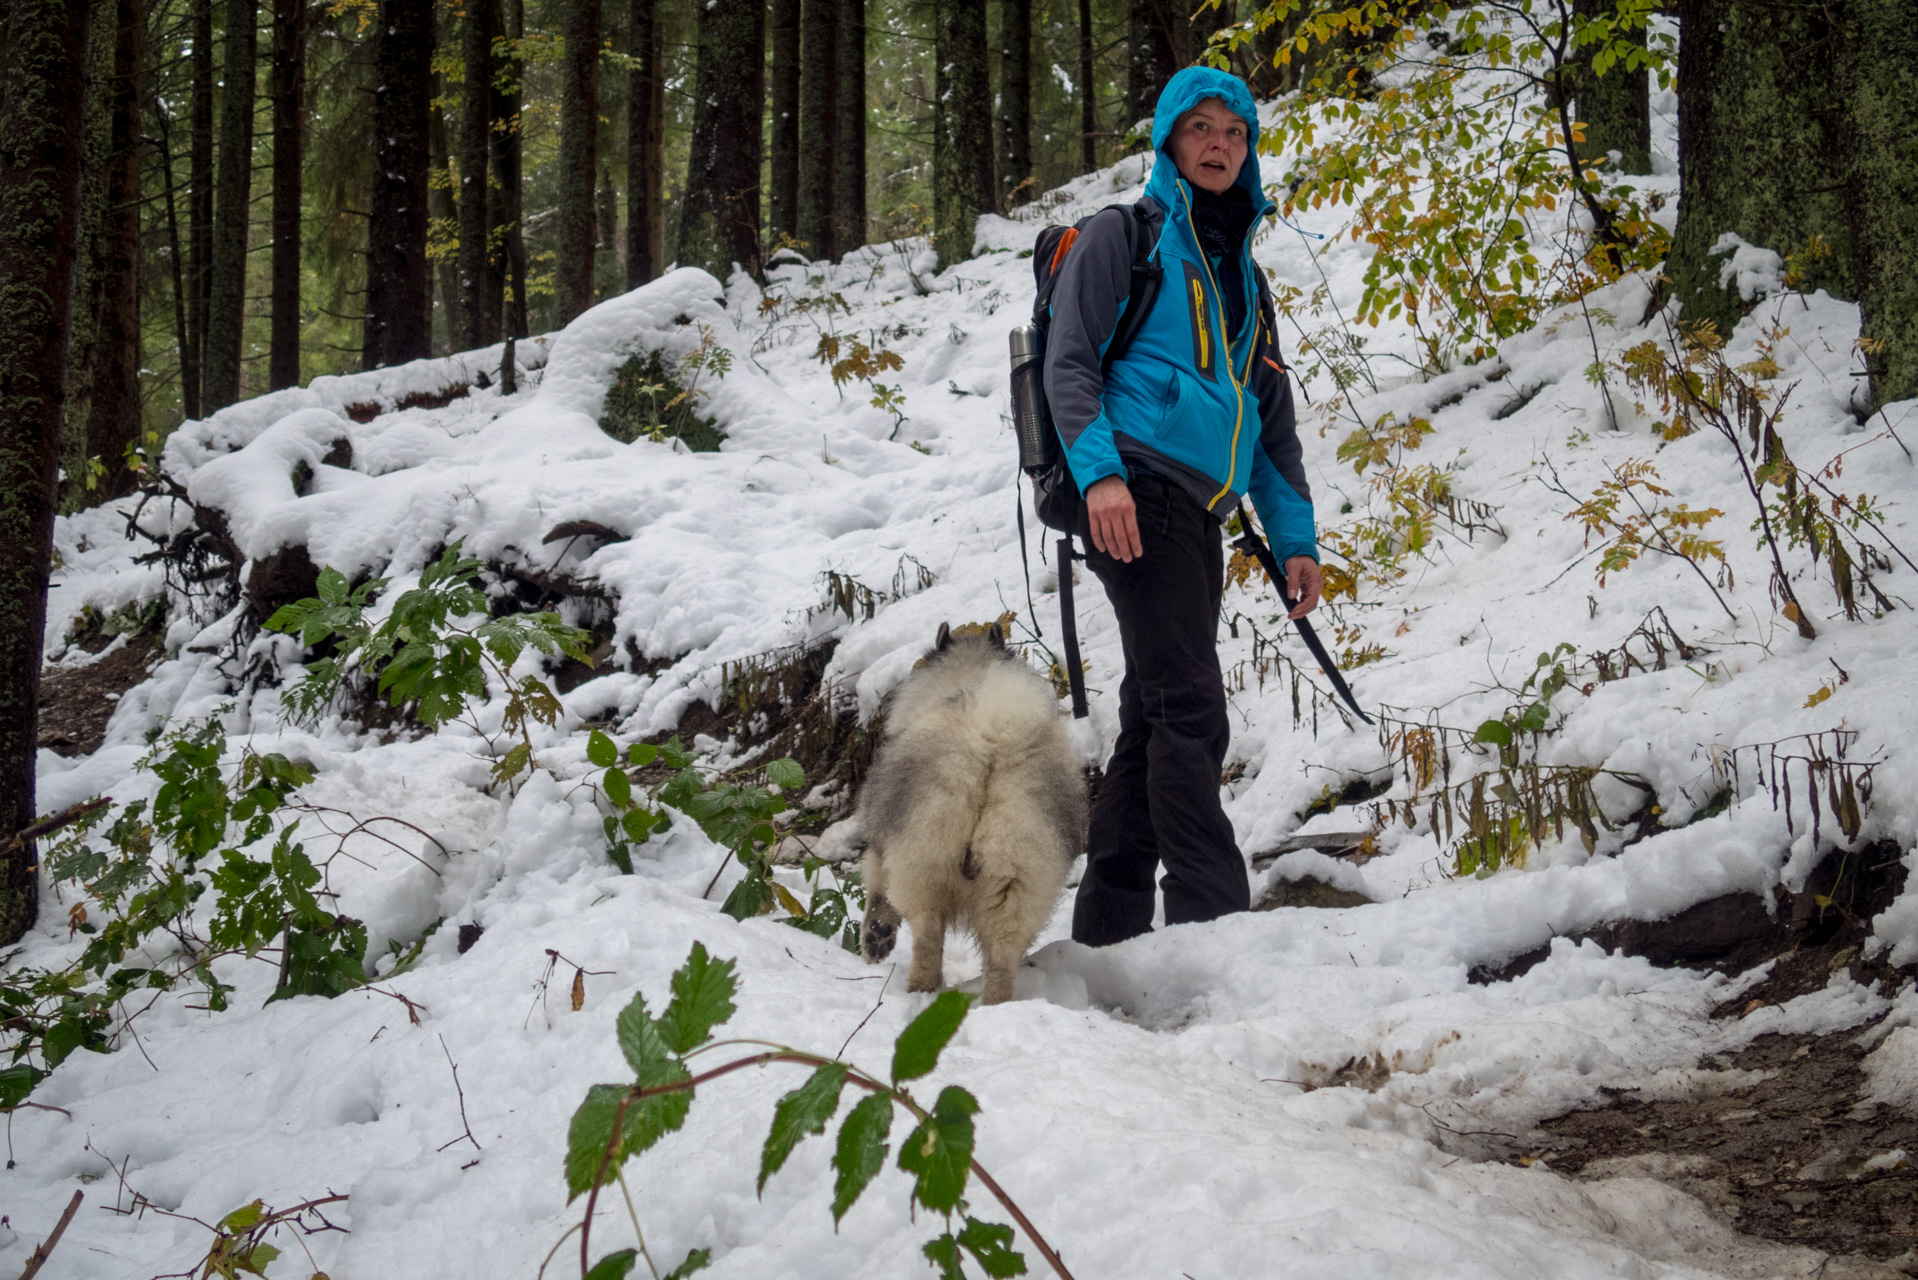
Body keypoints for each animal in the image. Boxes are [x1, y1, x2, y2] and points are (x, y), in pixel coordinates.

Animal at [863, 625, 1089, 1005]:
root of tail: (991, 744)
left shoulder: (882, 849)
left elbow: (878, 896)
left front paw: (875, 940)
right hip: (1019, 875)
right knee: (1001, 955)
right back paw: (995, 1005)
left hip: (922, 861)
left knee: (927, 936)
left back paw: (919, 989)